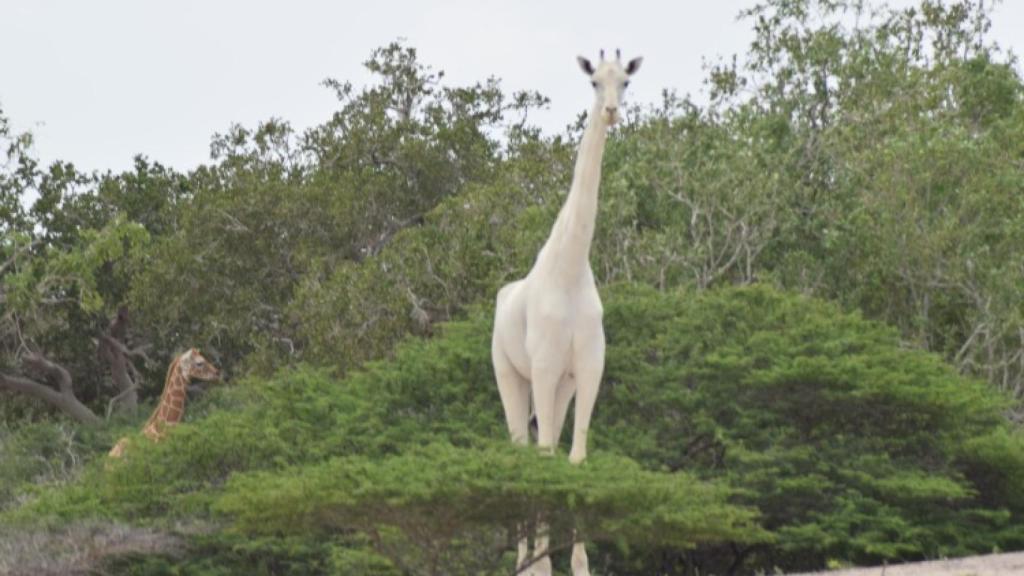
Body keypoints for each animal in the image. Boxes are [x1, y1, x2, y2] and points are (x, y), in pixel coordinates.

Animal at [492, 49, 642, 576]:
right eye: (594, 82)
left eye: (626, 82)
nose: (611, 112)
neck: (571, 268)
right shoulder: (542, 366)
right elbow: (541, 457)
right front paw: (540, 564)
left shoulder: (588, 367)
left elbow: (574, 457)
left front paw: (578, 563)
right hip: (510, 374)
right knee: (522, 447)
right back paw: (525, 560)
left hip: (560, 385)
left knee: (550, 443)